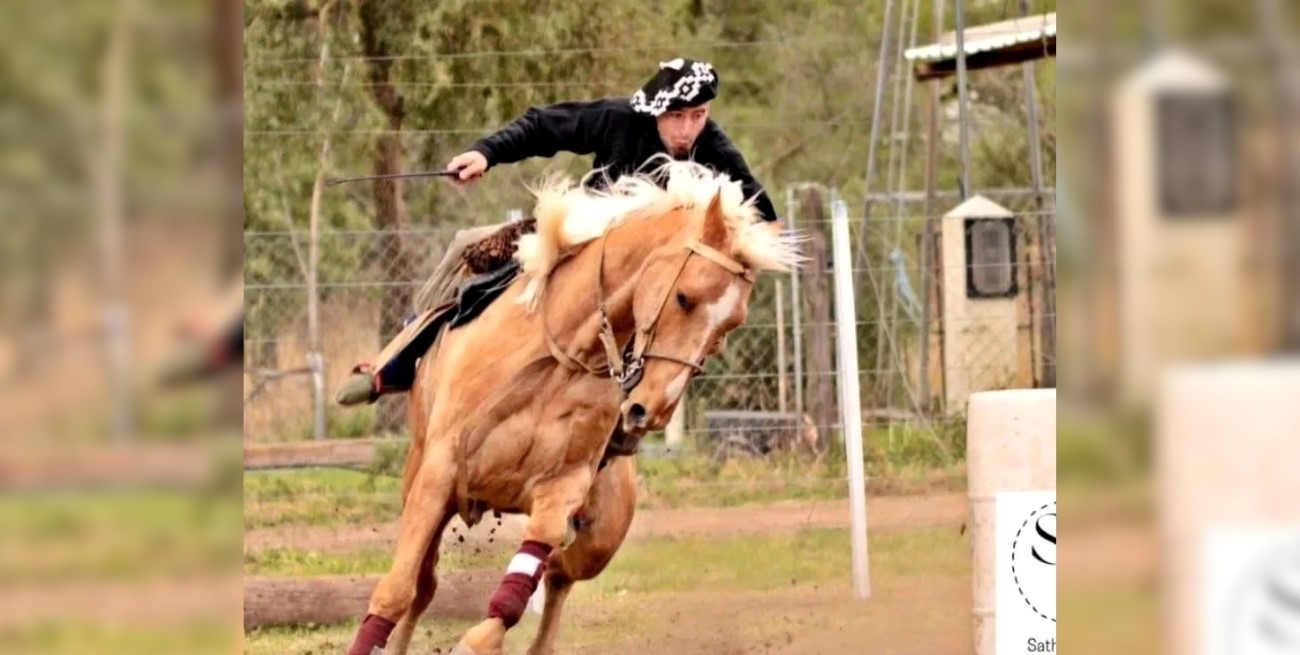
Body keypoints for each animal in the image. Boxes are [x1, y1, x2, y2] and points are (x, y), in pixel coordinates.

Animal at [345, 160, 804, 655]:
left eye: (729, 327)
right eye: (684, 297)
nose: (651, 411)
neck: (563, 354)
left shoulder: (561, 489)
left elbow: (513, 597)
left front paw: (477, 641)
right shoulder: (439, 472)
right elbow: (397, 590)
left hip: (599, 536)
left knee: (556, 580)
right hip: (419, 475)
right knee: (424, 585)